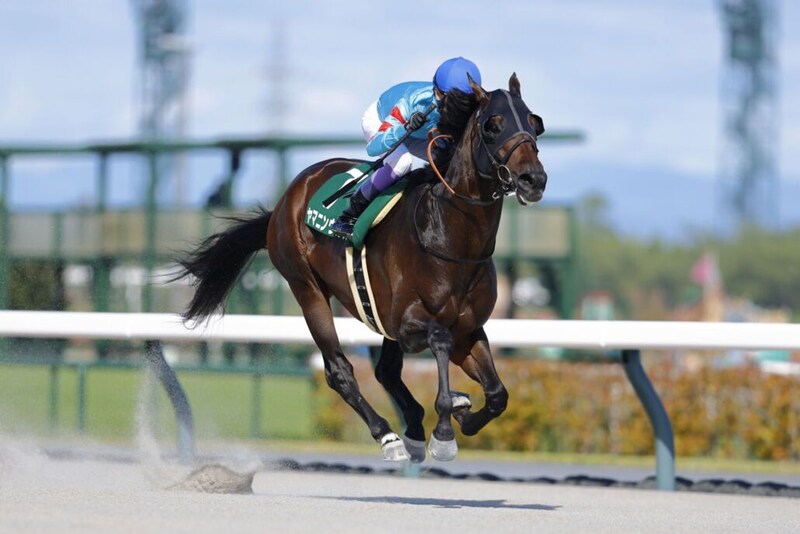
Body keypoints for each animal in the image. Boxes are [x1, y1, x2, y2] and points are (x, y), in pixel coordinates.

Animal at [175, 73, 547, 463]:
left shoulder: (468, 330)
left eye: (535, 123)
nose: (533, 179)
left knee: (386, 371)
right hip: (307, 288)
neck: (453, 239)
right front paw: (445, 430)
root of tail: (286, 200)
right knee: (339, 370)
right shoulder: (407, 322)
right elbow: (440, 340)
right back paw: (389, 435)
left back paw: (415, 428)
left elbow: (497, 394)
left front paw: (461, 412)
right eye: (493, 125)